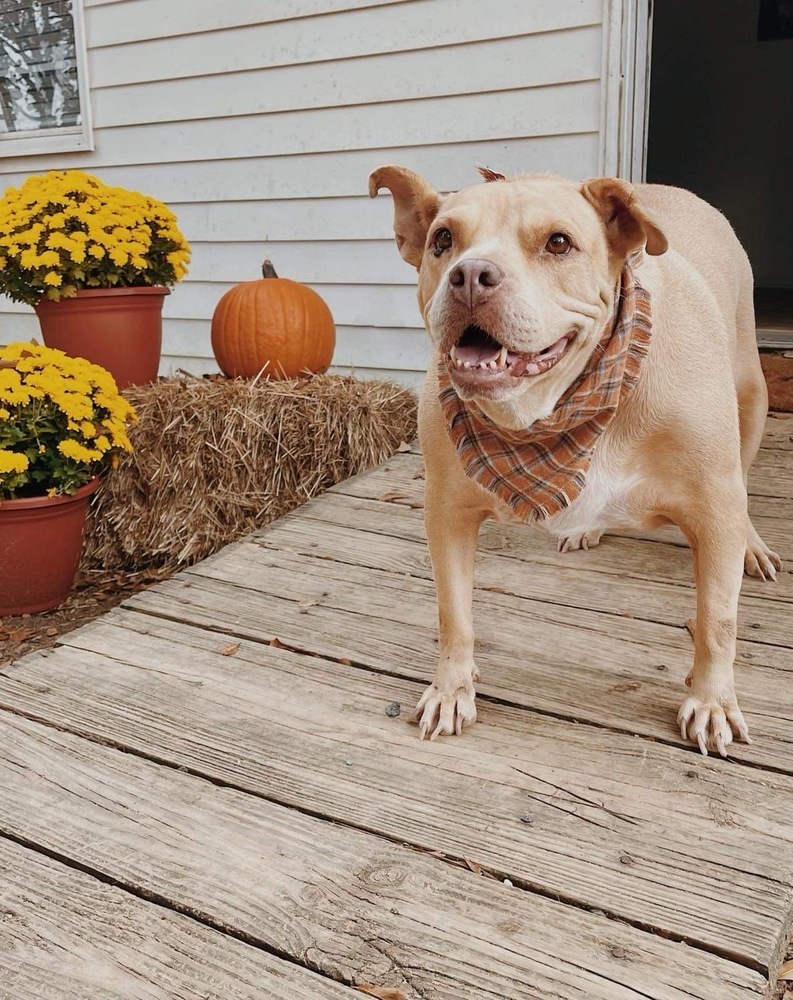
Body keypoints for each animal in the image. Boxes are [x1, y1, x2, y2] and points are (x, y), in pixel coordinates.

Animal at [372, 168, 780, 752]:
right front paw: (451, 689)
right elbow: (454, 612)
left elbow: (717, 619)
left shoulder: (715, 508)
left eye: (559, 243)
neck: (555, 410)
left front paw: (711, 702)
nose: (470, 275)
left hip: (752, 395)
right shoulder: (447, 512)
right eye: (442, 240)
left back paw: (753, 545)